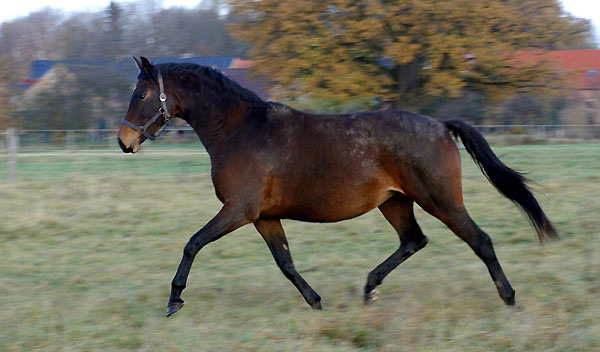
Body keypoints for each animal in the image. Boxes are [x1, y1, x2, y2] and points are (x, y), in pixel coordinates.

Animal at [118, 57, 556, 316]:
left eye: (140, 93)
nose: (124, 142)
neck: (240, 130)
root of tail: (440, 125)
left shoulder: (238, 211)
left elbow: (192, 243)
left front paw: (175, 298)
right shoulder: (263, 217)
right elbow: (286, 263)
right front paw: (315, 302)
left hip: (440, 200)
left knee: (479, 240)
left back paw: (509, 297)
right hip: (395, 202)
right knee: (413, 240)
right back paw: (369, 289)